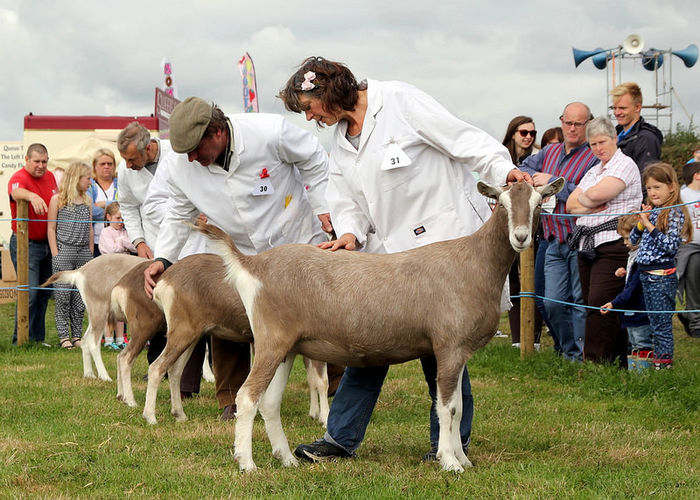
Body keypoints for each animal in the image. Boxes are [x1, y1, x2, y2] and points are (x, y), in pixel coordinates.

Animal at [194, 180, 568, 472]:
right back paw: (247, 463)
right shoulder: (448, 346)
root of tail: (253, 263)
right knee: (247, 397)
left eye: (538, 203)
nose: (521, 237)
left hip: (287, 347)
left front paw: (463, 459)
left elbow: (459, 407)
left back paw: (287, 459)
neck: (474, 262)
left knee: (269, 403)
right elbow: (446, 407)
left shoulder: (460, 351)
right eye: (501, 204)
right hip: (272, 340)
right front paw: (450, 462)